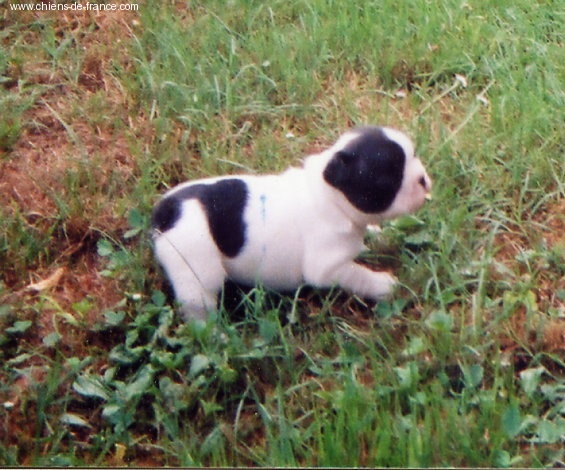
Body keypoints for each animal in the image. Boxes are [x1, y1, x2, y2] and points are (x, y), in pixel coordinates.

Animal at [152, 126, 432, 320]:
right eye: (388, 179)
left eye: (415, 155)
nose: (423, 179)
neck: (330, 195)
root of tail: (164, 212)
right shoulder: (328, 268)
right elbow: (356, 274)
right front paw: (383, 284)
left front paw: (378, 235)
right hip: (196, 270)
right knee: (199, 307)